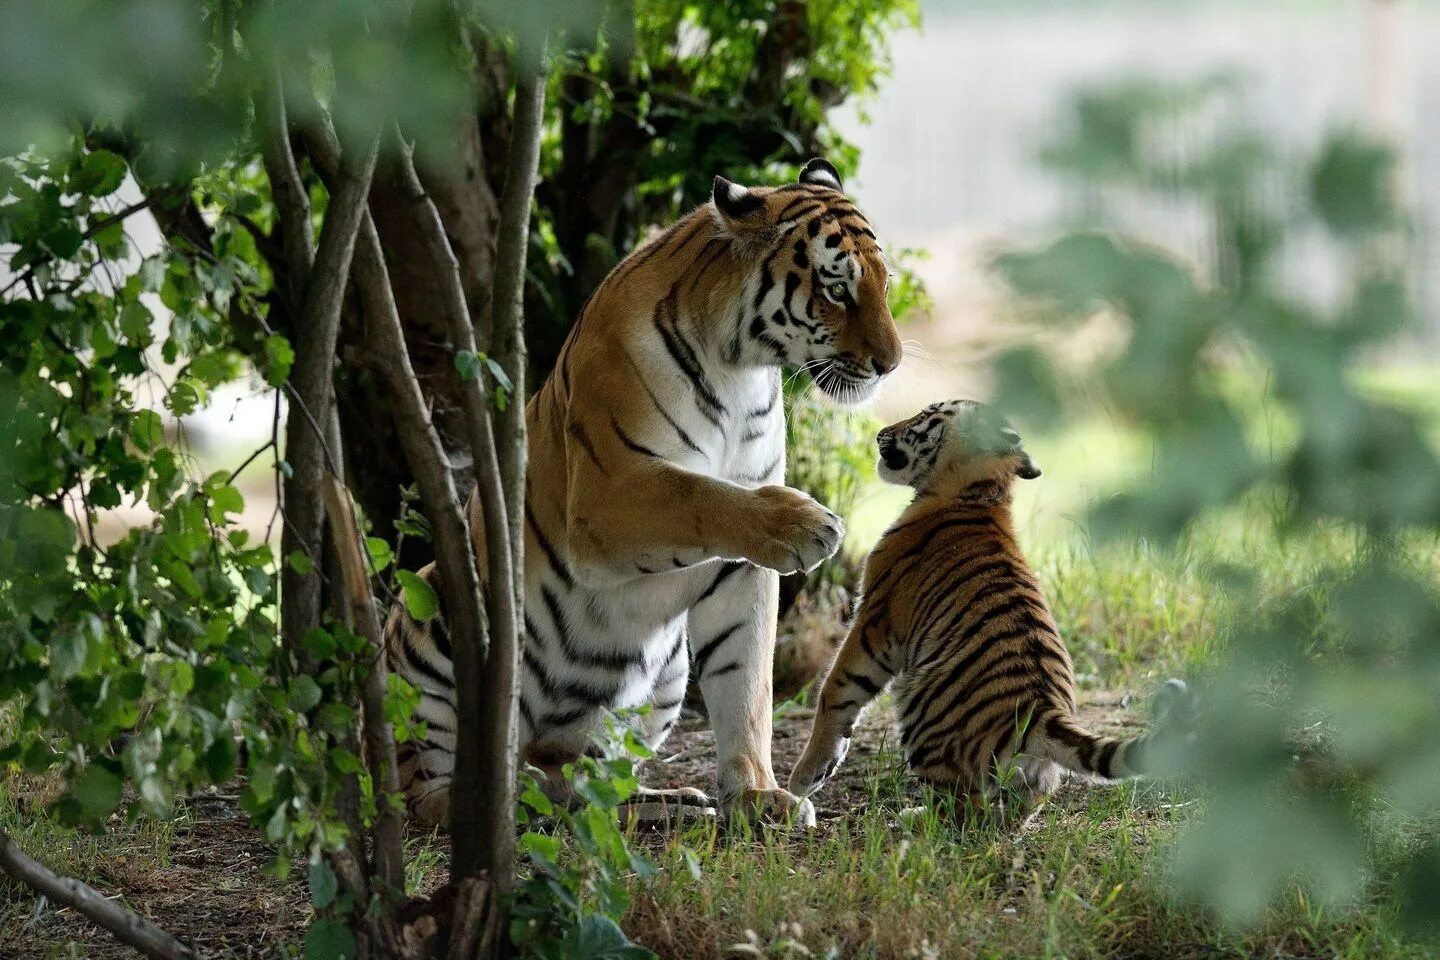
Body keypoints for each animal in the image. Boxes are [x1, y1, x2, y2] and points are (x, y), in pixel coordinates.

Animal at [383, 157, 898, 829]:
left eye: (883, 285)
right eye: (838, 290)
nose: (890, 363)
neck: (742, 368)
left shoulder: (739, 571)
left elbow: (747, 683)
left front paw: (756, 795)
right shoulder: (605, 497)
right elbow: (698, 495)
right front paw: (808, 526)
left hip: (663, 674)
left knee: (582, 786)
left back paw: (666, 803)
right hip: (432, 608)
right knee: (425, 790)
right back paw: (491, 803)